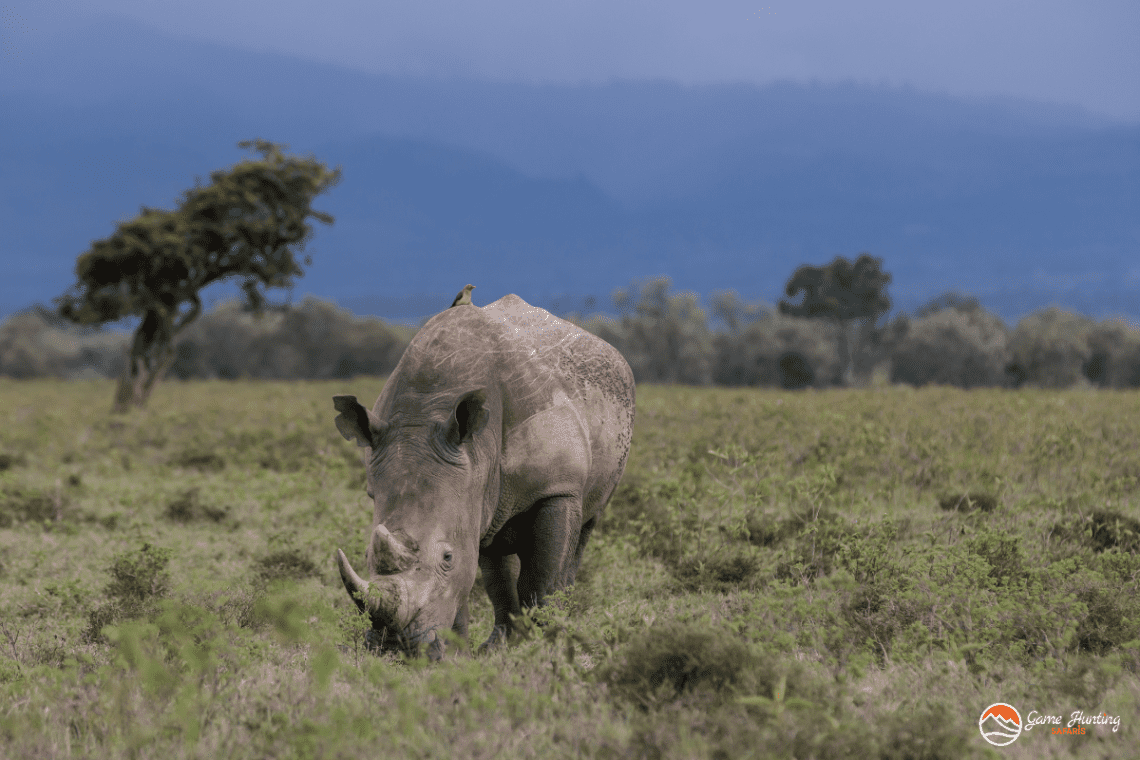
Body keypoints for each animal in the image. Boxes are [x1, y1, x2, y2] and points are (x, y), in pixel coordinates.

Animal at [333, 294, 635, 658]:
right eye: (365, 556)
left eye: (446, 557)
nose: (394, 647)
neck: (425, 412)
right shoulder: (466, 487)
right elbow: (474, 580)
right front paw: (459, 655)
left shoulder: (557, 487)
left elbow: (542, 578)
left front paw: (544, 649)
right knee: (495, 558)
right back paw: (497, 644)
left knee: (581, 535)